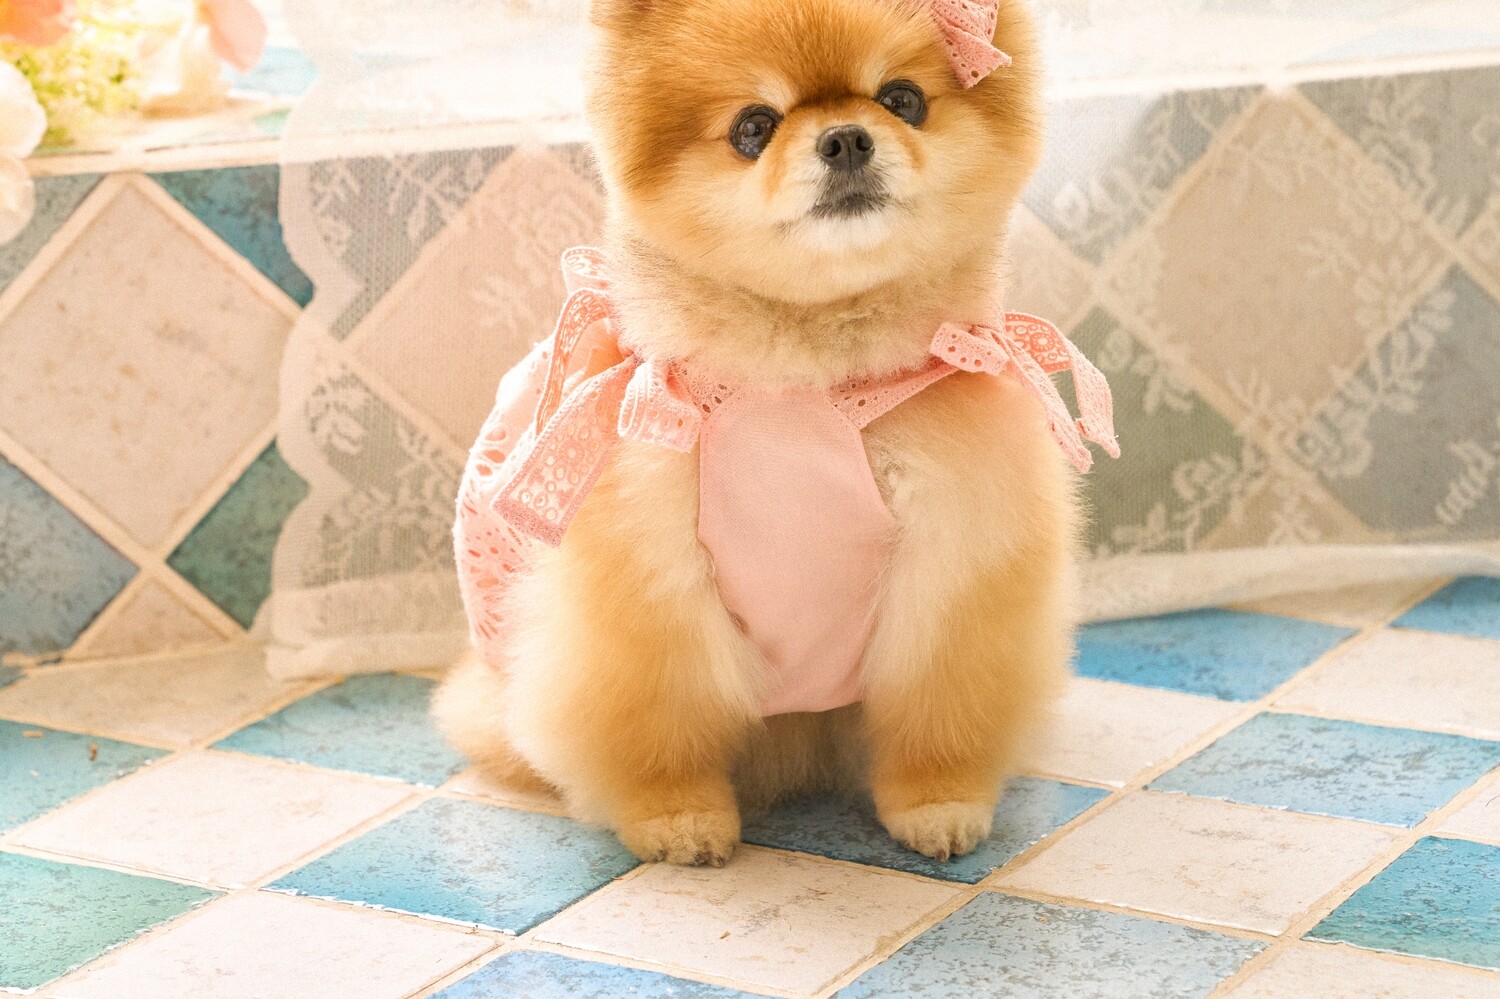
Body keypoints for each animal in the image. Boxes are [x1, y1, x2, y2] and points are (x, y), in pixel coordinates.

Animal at [434, 0, 1117, 867]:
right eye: (753, 127)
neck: (805, 379)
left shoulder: (952, 566)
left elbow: (937, 708)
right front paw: (676, 815)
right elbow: (659, 721)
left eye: (902, 100)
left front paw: (938, 800)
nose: (847, 139)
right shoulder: (650, 589)